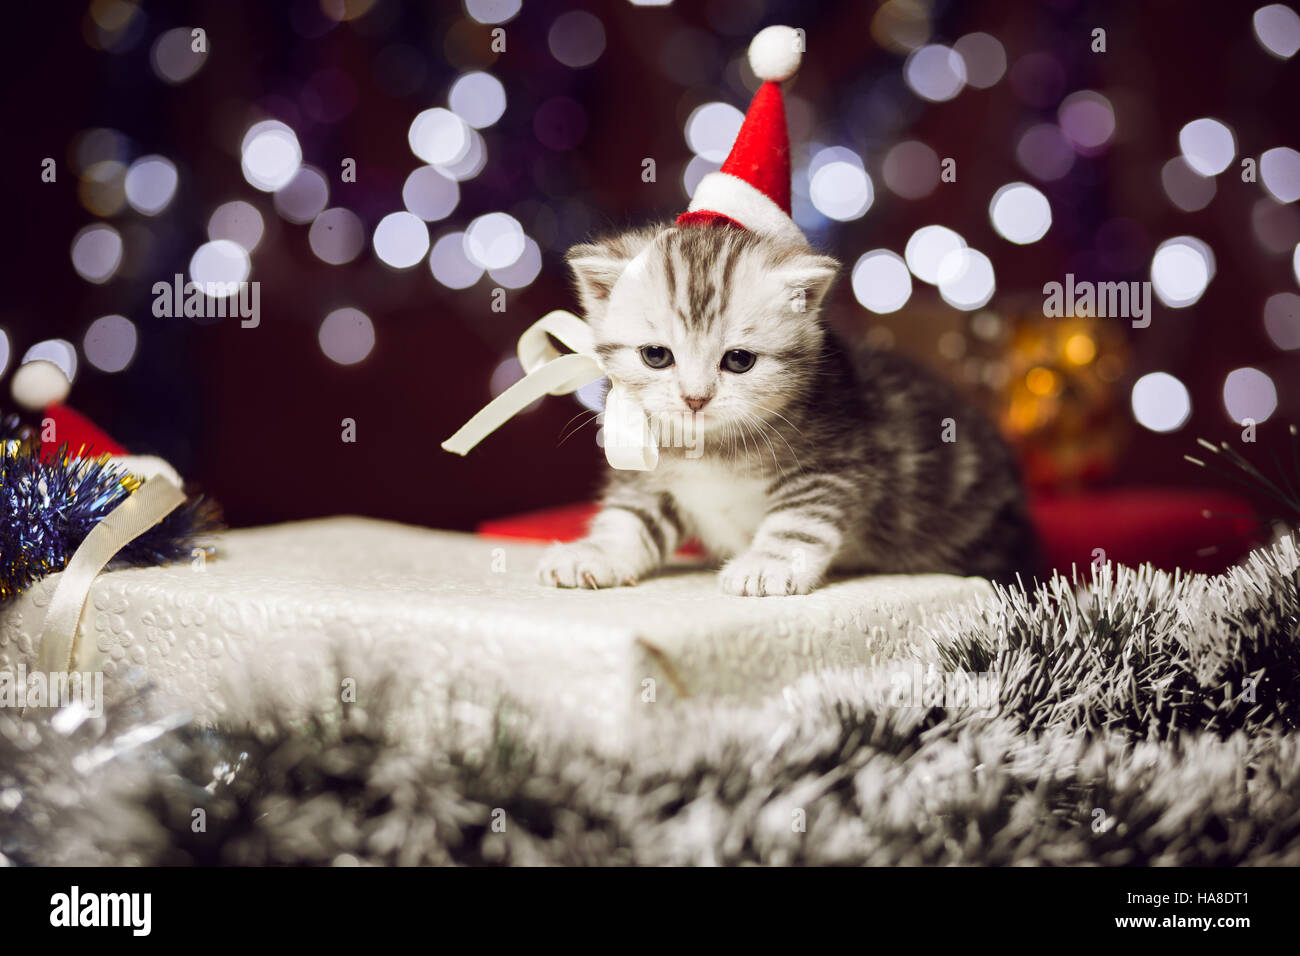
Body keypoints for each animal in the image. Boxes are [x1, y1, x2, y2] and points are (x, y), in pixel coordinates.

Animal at [535, 226, 1034, 598]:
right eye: (656, 356)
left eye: (739, 361)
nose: (695, 399)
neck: (711, 446)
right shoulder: (648, 467)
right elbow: (630, 515)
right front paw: (597, 552)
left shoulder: (834, 461)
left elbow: (799, 520)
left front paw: (766, 564)